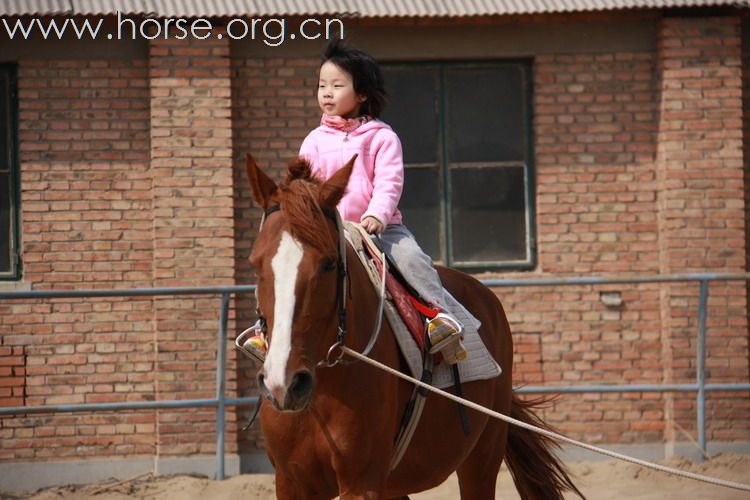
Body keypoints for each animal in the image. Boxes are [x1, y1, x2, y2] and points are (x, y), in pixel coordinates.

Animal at [247, 154, 580, 498]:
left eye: (328, 263)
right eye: (255, 264)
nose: (284, 384)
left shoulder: (362, 481)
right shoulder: (291, 482)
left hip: (482, 458)